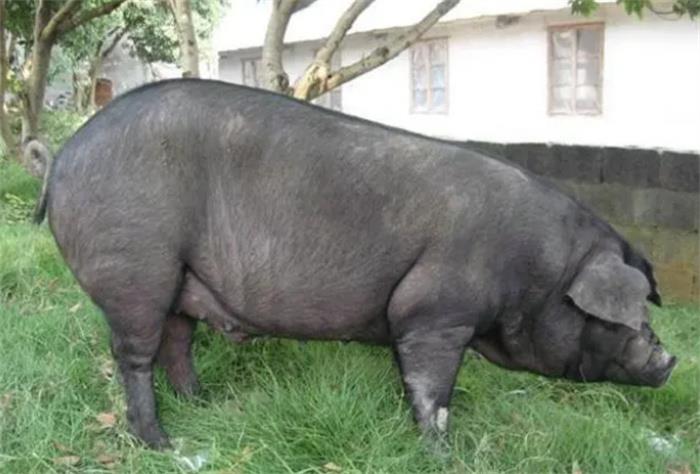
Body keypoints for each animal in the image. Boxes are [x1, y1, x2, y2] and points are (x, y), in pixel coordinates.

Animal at [33, 79, 677, 449]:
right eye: (632, 319)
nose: (670, 359)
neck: (541, 273)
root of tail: (63, 156)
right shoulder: (434, 311)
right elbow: (432, 388)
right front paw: (441, 451)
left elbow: (416, 381)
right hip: (136, 267)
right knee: (135, 354)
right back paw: (162, 443)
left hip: (179, 279)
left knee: (177, 339)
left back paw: (202, 405)